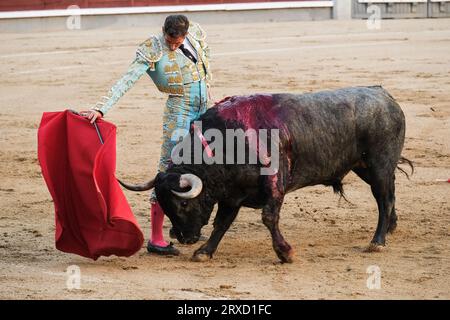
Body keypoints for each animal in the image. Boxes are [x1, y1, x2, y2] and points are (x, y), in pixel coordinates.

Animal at [118, 85, 412, 262]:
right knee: (390, 194)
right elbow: (221, 223)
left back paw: (378, 241)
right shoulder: (231, 195)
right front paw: (205, 251)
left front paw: (286, 253)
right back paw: (392, 226)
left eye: (182, 203)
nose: (182, 237)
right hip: (365, 167)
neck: (227, 142)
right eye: (164, 204)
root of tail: (383, 94)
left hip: (379, 164)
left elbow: (269, 218)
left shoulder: (274, 186)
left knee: (384, 198)